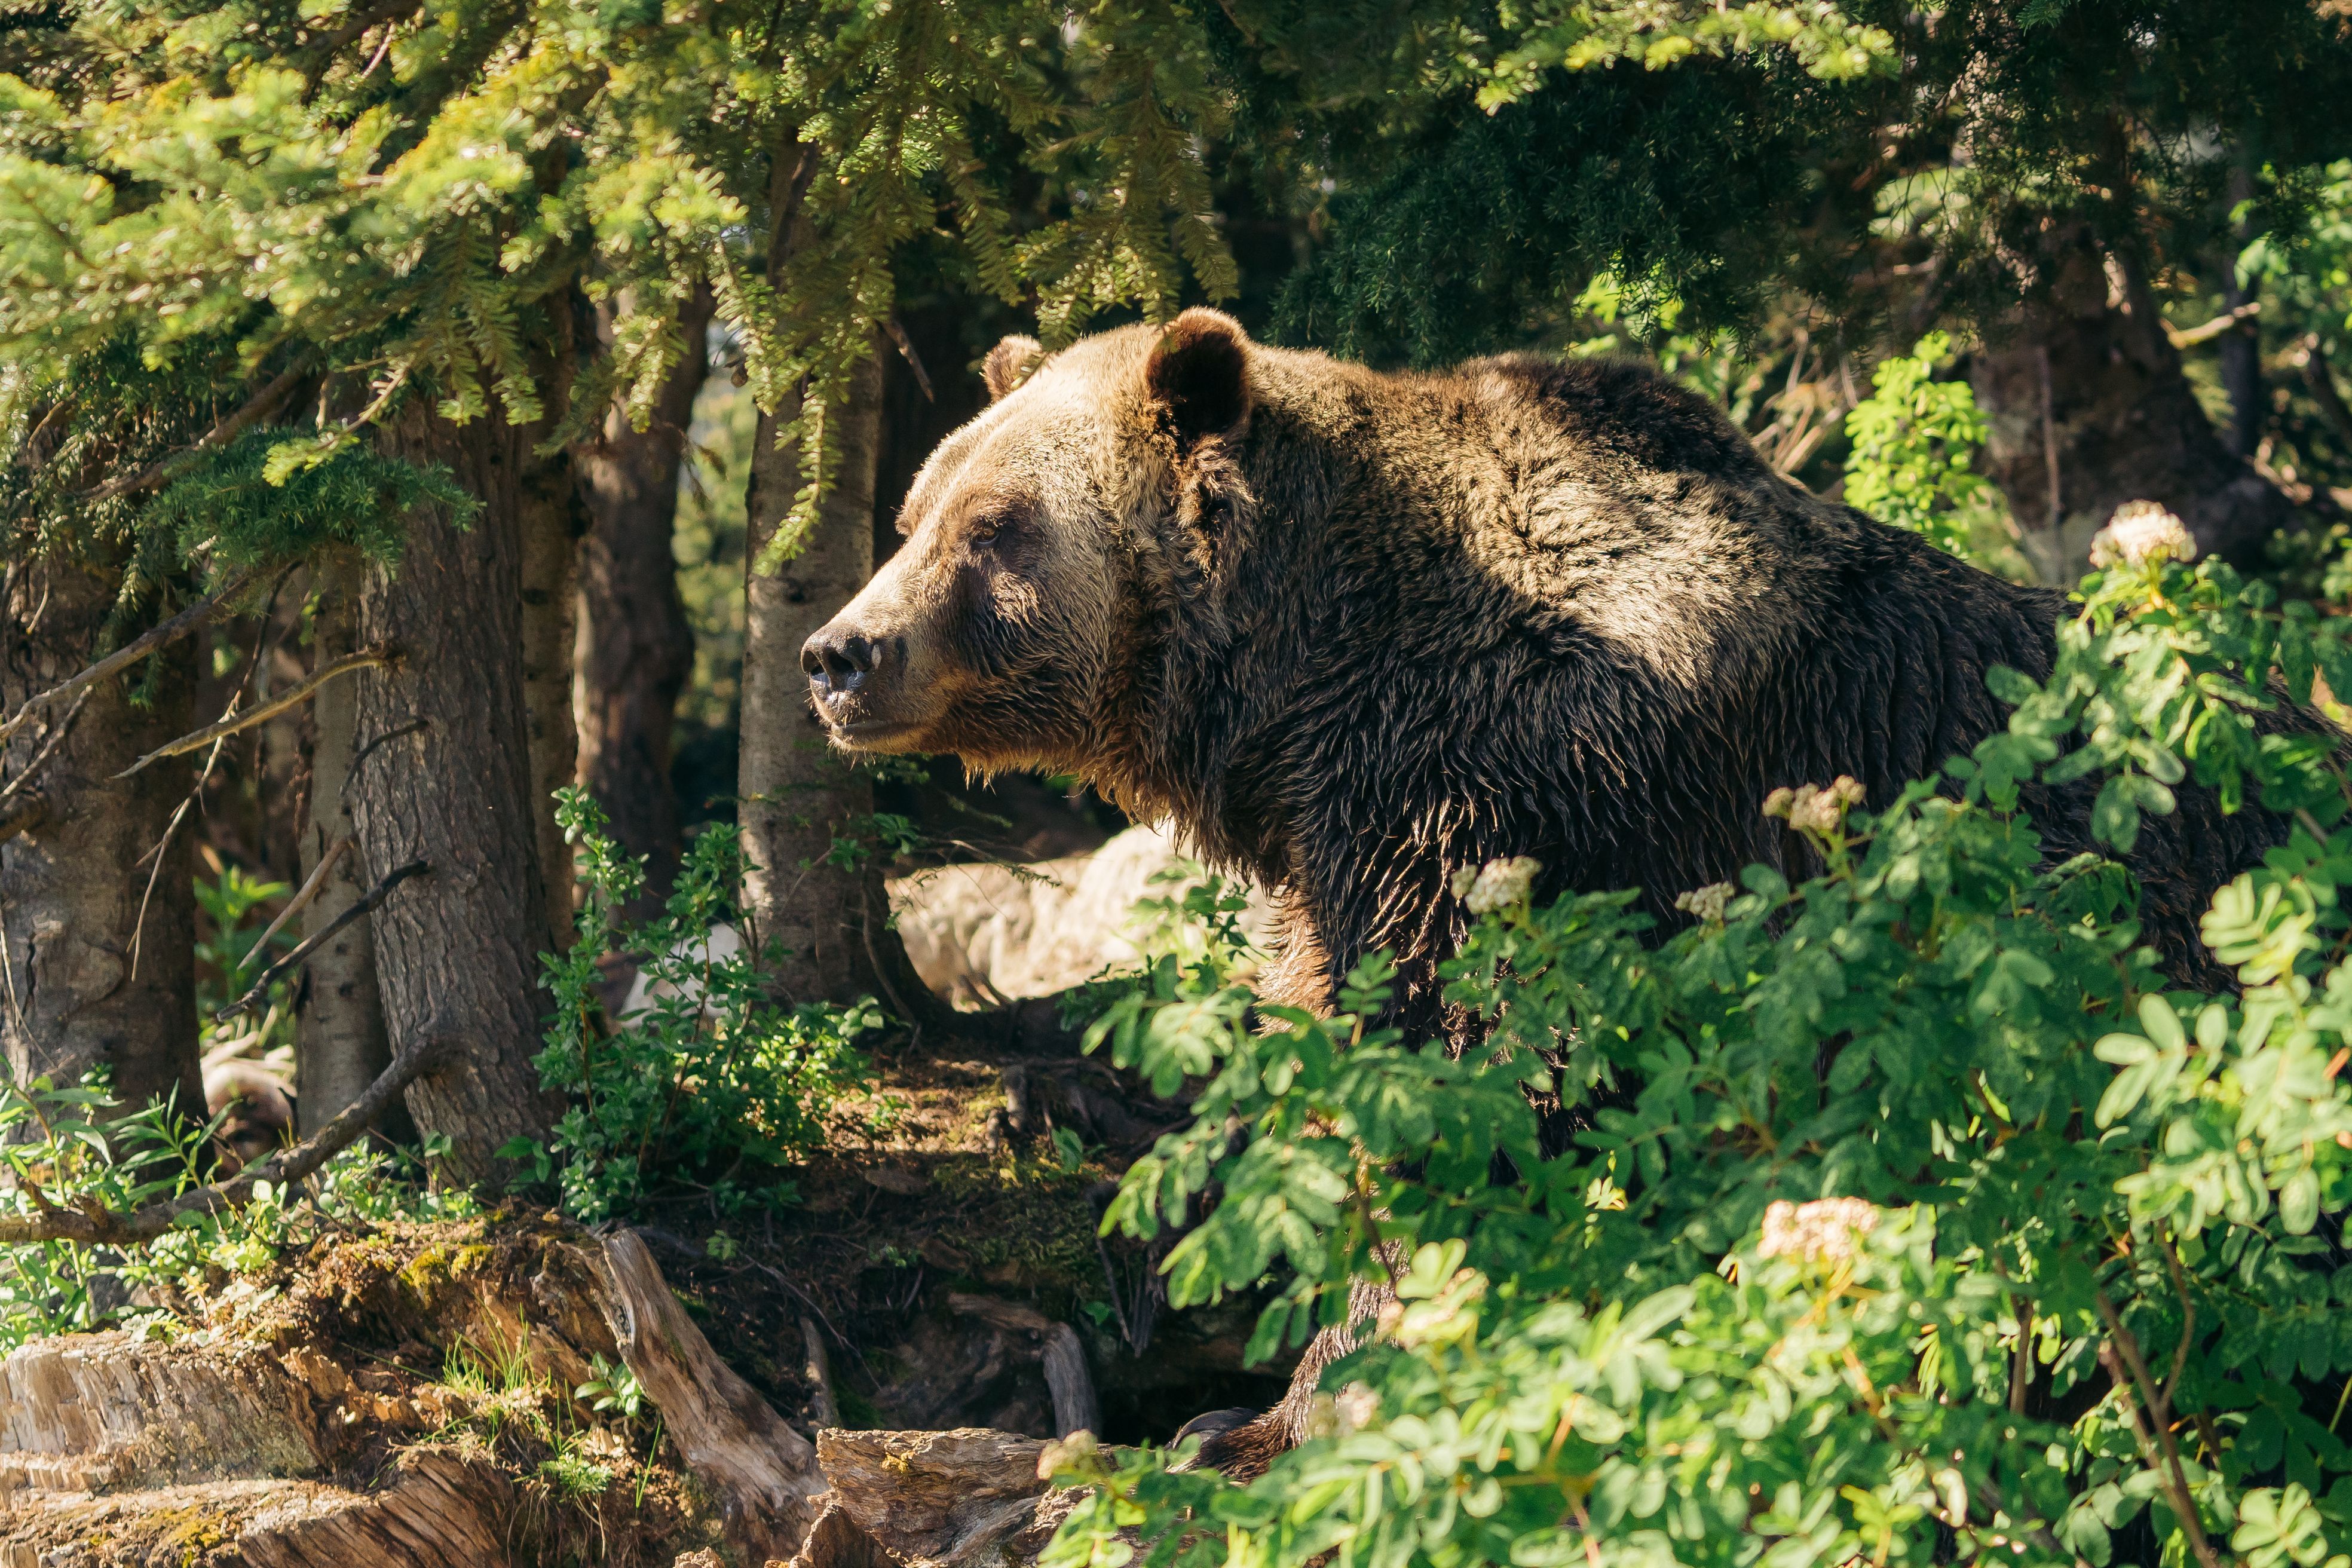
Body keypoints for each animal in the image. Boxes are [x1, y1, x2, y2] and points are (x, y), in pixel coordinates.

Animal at [800, 307, 2300, 1471]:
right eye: (915, 510)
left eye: (997, 525)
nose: (836, 651)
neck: (1299, 684)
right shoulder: (1336, 844)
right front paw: (1242, 1402)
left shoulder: (1509, 802)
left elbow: (1456, 1091)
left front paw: (1285, 1412)